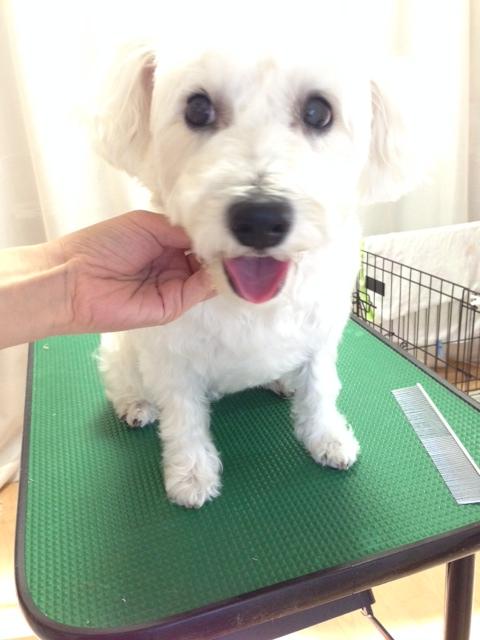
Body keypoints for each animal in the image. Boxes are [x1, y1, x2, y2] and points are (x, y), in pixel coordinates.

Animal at [95, 40, 423, 508]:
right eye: (197, 108)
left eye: (318, 112)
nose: (260, 218)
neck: (251, 304)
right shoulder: (172, 358)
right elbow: (184, 419)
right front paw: (190, 474)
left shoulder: (321, 335)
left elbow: (320, 389)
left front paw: (327, 438)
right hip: (120, 346)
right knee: (123, 382)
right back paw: (137, 405)